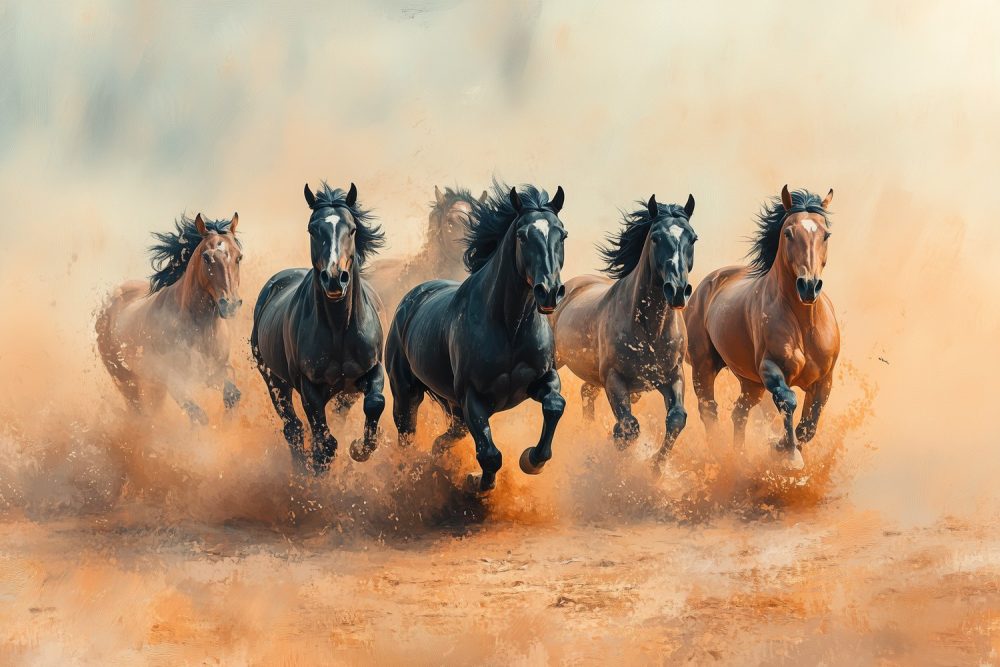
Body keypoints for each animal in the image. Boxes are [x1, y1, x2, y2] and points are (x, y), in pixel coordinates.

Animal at [96, 212, 243, 423]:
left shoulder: (216, 372)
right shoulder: (175, 381)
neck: (200, 329)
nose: (230, 304)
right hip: (125, 379)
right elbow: (199, 416)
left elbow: (233, 395)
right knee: (139, 412)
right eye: (206, 257)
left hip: (154, 386)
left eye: (239, 256)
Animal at [251, 182, 387, 474]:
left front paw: (359, 448)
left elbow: (375, 403)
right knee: (292, 427)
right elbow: (324, 439)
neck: (339, 329)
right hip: (274, 380)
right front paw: (318, 465)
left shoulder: (372, 369)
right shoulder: (309, 387)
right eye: (312, 229)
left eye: (353, 229)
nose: (334, 278)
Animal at [385, 181, 568, 494]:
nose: (550, 292)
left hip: (455, 409)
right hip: (406, 392)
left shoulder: (543, 379)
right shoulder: (474, 397)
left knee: (445, 438)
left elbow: (555, 405)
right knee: (407, 432)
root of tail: (414, 295)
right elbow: (490, 454)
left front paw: (531, 460)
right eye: (521, 236)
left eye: (562, 234)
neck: (509, 328)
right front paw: (476, 482)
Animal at [551, 194, 697, 463]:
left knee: (587, 393)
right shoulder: (614, 378)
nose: (677, 290)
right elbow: (630, 427)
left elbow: (676, 419)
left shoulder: (673, 375)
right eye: (655, 237)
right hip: (557, 360)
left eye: (692, 238)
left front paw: (655, 466)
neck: (650, 331)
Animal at [685, 185, 839, 470]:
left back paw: (740, 458)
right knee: (709, 408)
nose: (809, 286)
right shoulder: (770, 369)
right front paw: (787, 454)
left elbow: (808, 426)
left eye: (826, 234)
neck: (805, 324)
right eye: (788, 233)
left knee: (739, 412)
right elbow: (788, 401)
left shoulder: (824, 380)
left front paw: (787, 450)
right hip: (704, 365)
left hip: (750, 383)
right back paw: (719, 454)